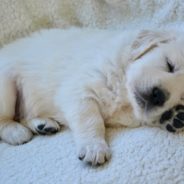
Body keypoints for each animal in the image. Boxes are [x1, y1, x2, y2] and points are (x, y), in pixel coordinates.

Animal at [0, 28, 184, 165]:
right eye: (169, 65)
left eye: (182, 98)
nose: (159, 96)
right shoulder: (79, 88)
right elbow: (91, 119)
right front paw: (94, 148)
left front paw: (172, 117)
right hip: (6, 84)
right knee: (5, 118)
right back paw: (16, 132)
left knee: (23, 115)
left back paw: (42, 125)